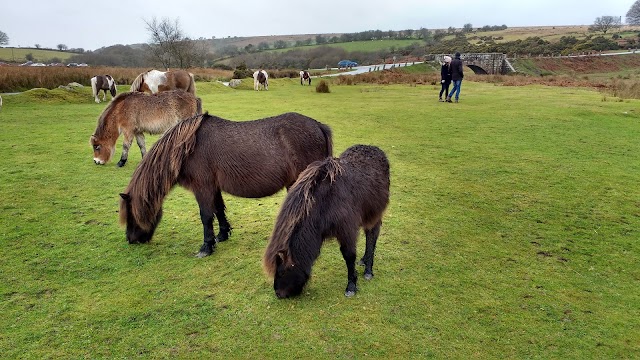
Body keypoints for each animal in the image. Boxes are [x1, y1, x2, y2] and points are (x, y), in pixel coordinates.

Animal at [118, 111, 336, 258]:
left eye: (131, 214)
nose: (131, 240)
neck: (186, 147)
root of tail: (318, 126)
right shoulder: (213, 187)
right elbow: (219, 210)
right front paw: (222, 235)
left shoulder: (202, 187)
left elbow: (206, 216)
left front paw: (206, 247)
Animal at [262, 144, 390, 298]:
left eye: (281, 272)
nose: (278, 294)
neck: (324, 202)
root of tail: (374, 149)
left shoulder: (347, 231)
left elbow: (349, 255)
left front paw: (351, 285)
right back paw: (364, 260)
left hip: (374, 214)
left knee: (372, 236)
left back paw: (368, 269)